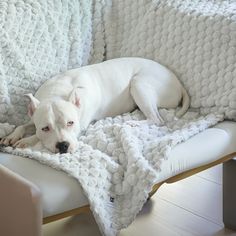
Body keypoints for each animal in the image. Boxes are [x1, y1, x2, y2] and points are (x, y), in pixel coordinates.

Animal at [0, 57, 190, 153]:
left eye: (71, 123)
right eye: (45, 128)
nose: (63, 145)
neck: (57, 93)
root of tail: (178, 83)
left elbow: (35, 136)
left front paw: (26, 141)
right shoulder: (33, 117)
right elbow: (24, 125)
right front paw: (13, 135)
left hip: (139, 83)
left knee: (157, 119)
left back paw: (134, 123)